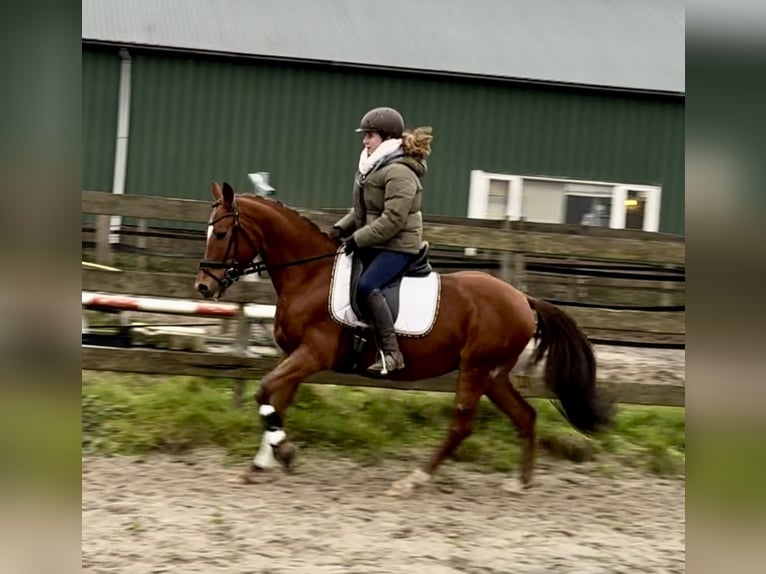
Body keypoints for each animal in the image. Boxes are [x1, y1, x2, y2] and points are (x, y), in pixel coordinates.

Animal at [195, 183, 616, 496]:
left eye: (221, 233)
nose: (203, 287)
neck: (309, 275)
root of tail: (522, 298)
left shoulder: (313, 354)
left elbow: (265, 391)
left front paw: (283, 452)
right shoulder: (295, 356)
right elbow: (276, 400)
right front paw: (261, 463)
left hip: (476, 368)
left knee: (462, 424)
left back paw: (414, 479)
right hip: (494, 374)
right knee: (525, 416)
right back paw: (520, 482)